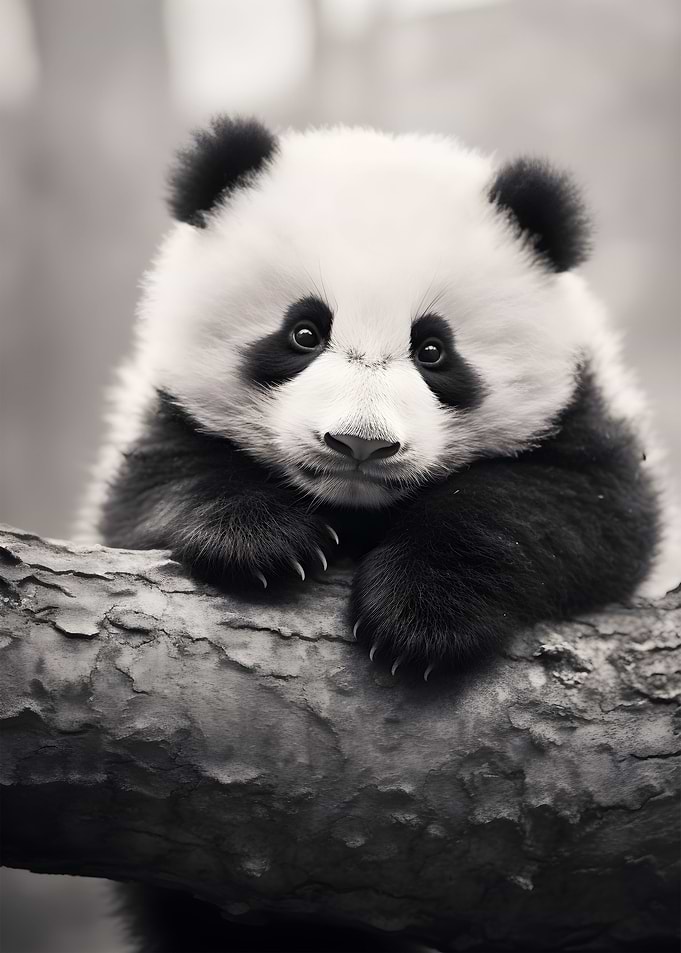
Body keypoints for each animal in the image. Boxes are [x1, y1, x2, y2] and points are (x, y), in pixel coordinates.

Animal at [80, 116, 674, 952]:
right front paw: (261, 542)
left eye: (432, 349)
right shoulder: (159, 422)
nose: (358, 442)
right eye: (303, 330)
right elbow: (160, 486)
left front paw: (418, 617)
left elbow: (574, 509)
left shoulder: (583, 427)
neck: (359, 508)